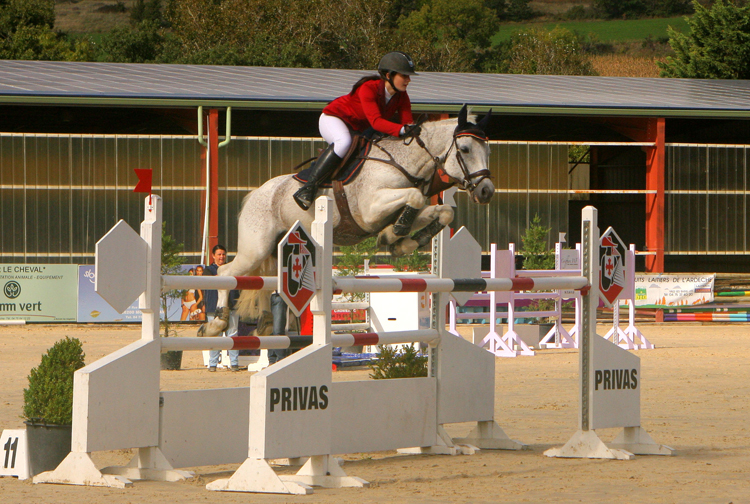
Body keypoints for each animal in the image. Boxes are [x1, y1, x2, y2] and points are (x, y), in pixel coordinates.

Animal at [201, 104, 494, 336]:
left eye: (488, 150)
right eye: (465, 149)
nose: (486, 191)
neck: (403, 163)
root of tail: (256, 193)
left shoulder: (397, 208)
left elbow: (442, 211)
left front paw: (403, 240)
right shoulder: (371, 209)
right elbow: (416, 198)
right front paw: (396, 234)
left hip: (271, 250)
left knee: (265, 281)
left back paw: (264, 323)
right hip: (255, 248)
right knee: (227, 274)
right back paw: (216, 324)